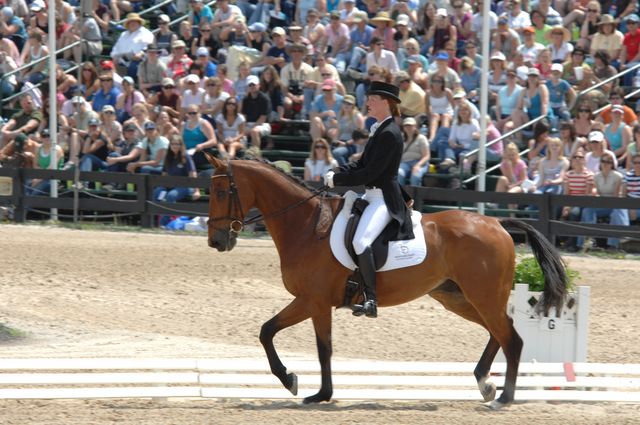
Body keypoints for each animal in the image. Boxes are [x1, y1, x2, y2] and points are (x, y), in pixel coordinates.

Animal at [204, 155, 564, 408]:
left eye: (220, 191)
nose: (216, 241)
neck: (306, 226)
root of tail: (497, 223)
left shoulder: (312, 300)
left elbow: (274, 333)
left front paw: (295, 382)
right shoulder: (318, 304)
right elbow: (318, 346)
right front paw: (320, 393)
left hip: (482, 296)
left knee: (510, 337)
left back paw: (504, 397)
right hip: (457, 297)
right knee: (497, 332)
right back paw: (485, 383)